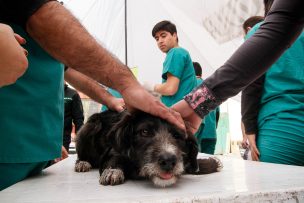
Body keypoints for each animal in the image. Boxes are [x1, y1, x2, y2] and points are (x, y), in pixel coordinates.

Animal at [75, 109, 222, 187]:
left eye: (177, 135)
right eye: (144, 132)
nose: (168, 161)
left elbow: (193, 165)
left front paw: (214, 163)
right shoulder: (113, 150)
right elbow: (114, 159)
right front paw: (112, 172)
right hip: (90, 125)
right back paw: (83, 163)